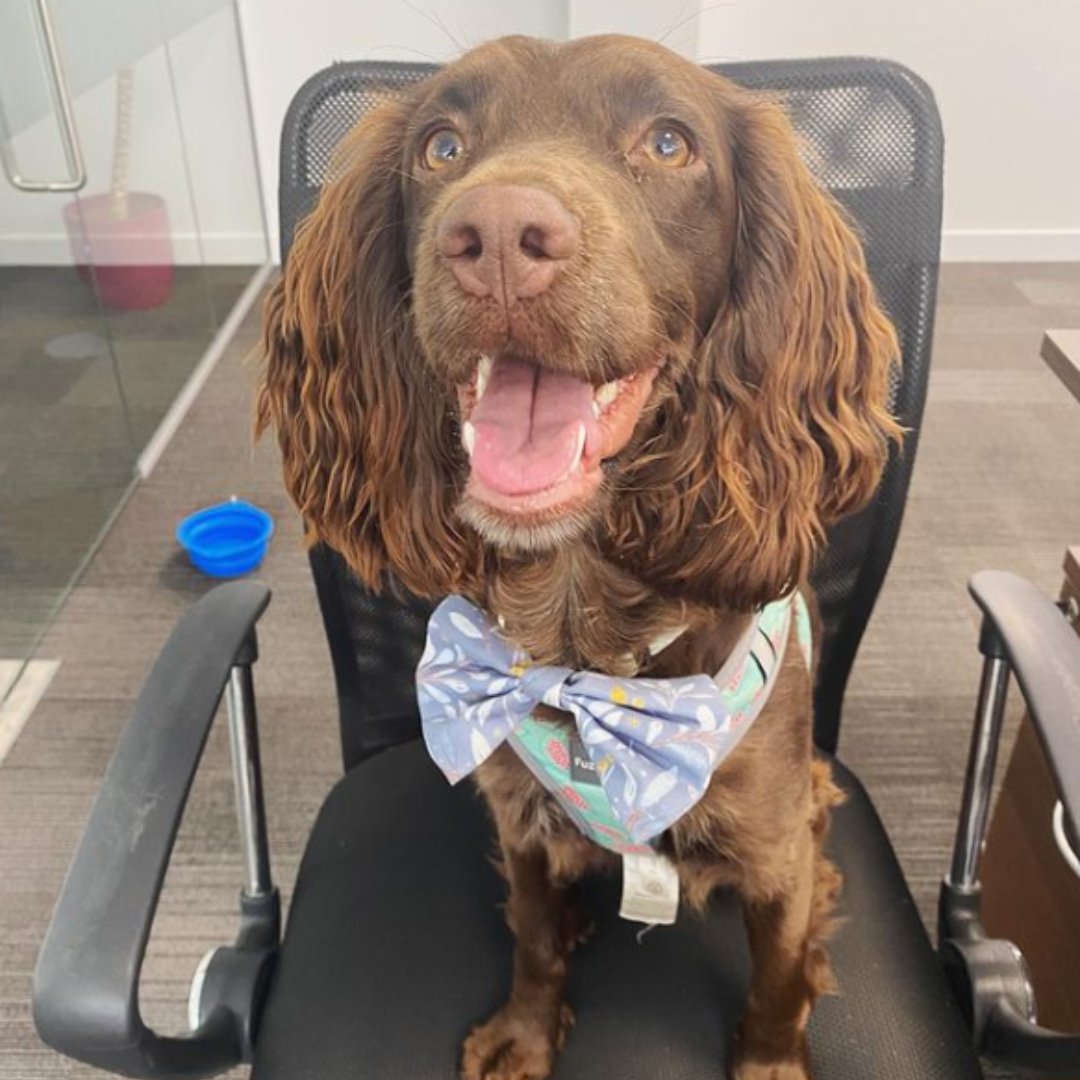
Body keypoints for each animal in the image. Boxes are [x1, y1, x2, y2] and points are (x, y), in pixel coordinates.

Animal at [257, 33, 898, 1080]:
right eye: (441, 146)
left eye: (669, 143)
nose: (495, 236)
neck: (586, 646)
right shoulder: (516, 811)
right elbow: (532, 936)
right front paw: (525, 1032)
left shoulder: (775, 847)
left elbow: (775, 985)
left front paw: (769, 1059)